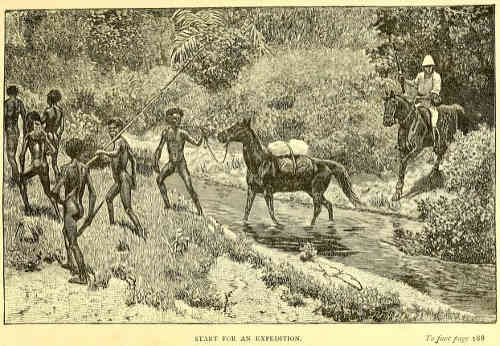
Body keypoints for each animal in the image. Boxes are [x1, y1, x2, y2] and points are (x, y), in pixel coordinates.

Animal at [217, 118, 362, 227]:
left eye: (235, 128)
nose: (219, 135)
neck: (258, 163)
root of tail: (326, 164)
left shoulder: (268, 192)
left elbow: (271, 211)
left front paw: (277, 224)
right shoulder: (251, 190)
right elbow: (247, 210)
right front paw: (243, 223)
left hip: (316, 192)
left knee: (318, 208)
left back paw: (310, 225)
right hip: (312, 191)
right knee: (328, 205)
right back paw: (329, 223)